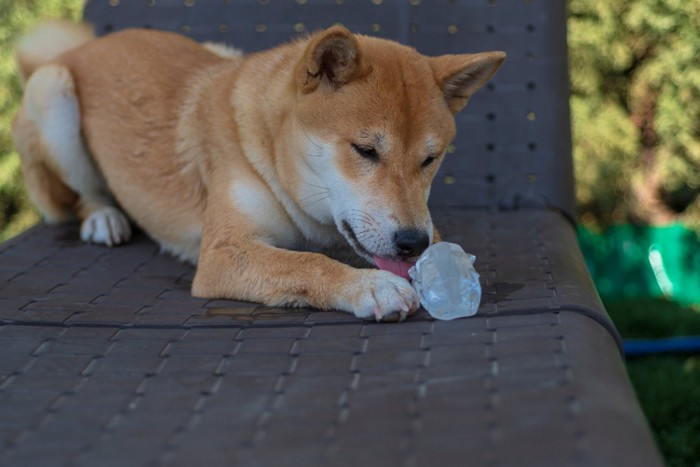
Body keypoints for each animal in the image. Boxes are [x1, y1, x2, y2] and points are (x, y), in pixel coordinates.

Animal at [10, 20, 504, 324]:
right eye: (365, 150)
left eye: (430, 159)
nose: (411, 243)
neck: (271, 156)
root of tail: (84, 46)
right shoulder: (221, 254)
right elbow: (306, 262)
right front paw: (370, 286)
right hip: (53, 93)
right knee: (80, 197)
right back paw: (103, 217)